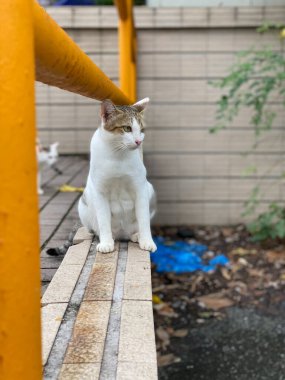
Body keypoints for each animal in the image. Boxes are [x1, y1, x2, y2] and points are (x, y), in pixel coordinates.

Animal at [77, 97, 155, 252]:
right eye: (127, 128)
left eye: (141, 130)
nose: (139, 141)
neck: (118, 155)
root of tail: (122, 235)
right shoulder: (100, 192)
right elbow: (103, 219)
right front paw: (106, 243)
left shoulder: (140, 189)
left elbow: (144, 220)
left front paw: (147, 241)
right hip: (83, 203)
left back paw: (136, 235)